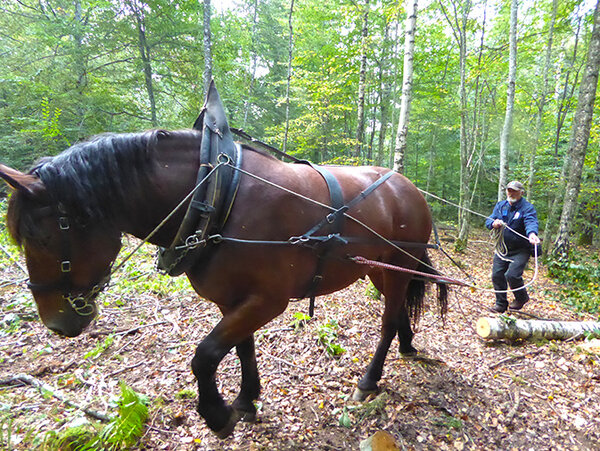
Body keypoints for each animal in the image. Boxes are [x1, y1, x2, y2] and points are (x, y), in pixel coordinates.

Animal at [0, 100, 448, 440]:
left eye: (41, 237)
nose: (56, 323)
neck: (218, 196)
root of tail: (409, 188)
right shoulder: (232, 300)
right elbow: (241, 348)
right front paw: (247, 400)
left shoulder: (267, 300)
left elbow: (205, 355)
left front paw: (217, 414)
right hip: (379, 270)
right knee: (399, 308)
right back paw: (408, 344)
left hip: (398, 266)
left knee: (388, 320)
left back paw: (370, 379)